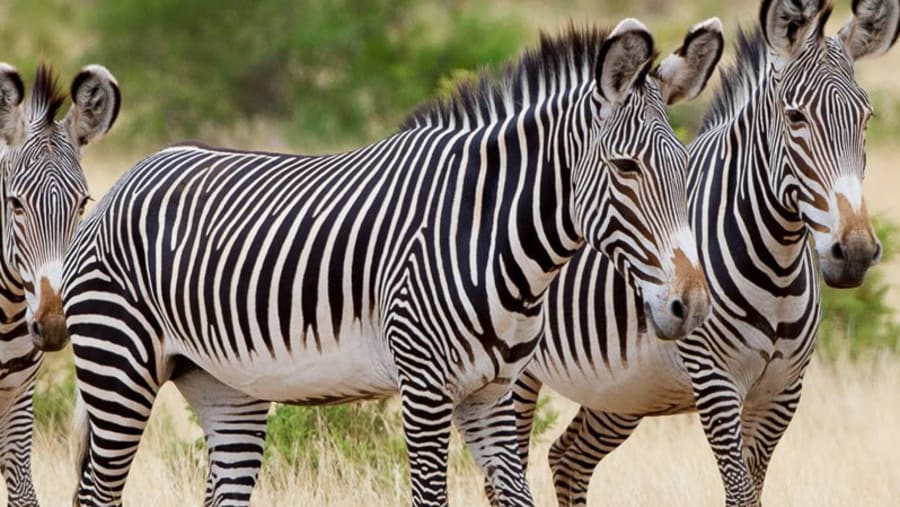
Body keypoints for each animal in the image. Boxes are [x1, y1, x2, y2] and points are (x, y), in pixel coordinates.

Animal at [60, 18, 720, 507]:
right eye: (626, 167)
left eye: (686, 166)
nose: (692, 306)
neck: (489, 236)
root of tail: (128, 178)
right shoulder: (424, 388)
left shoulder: (493, 394)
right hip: (118, 368)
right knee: (96, 494)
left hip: (224, 386)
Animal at [512, 1, 899, 506]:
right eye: (795, 118)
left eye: (866, 118)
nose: (853, 252)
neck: (777, 266)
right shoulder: (716, 383)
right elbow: (739, 493)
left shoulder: (783, 391)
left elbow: (754, 490)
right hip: (518, 374)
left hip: (624, 391)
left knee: (568, 458)